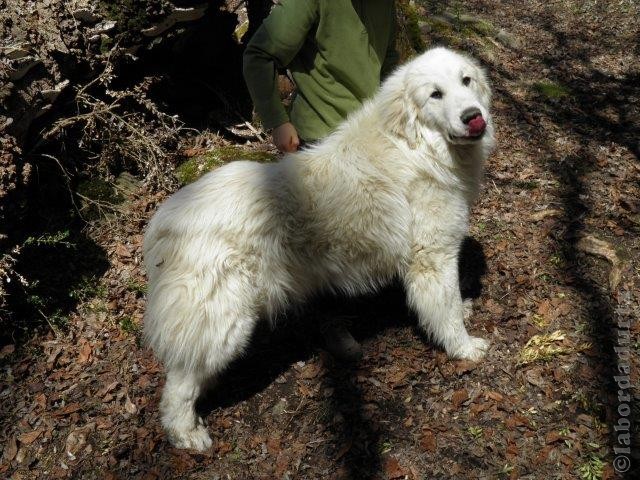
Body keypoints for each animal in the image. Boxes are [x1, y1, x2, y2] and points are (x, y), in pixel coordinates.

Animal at [144, 47, 496, 450]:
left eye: (466, 80)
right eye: (435, 94)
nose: (473, 116)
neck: (415, 147)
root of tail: (167, 219)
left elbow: (453, 304)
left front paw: (465, 313)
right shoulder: (434, 258)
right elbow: (446, 311)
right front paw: (464, 349)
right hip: (224, 321)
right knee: (178, 386)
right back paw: (187, 434)